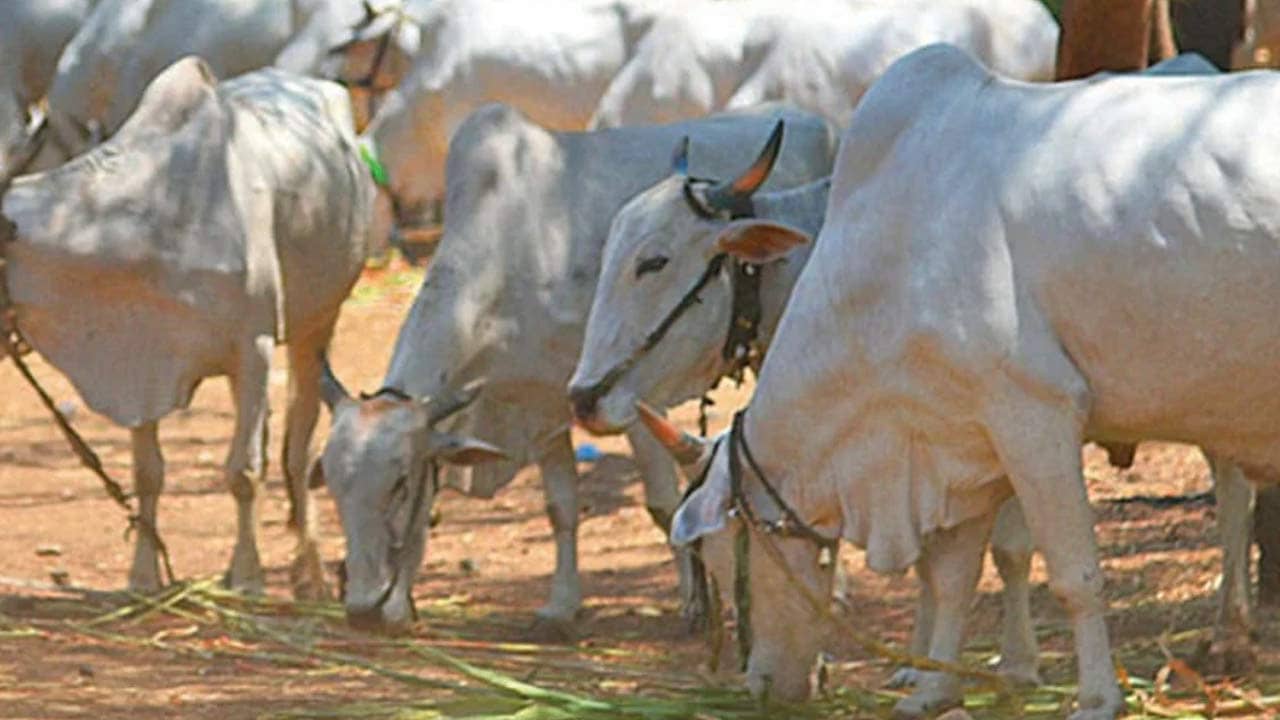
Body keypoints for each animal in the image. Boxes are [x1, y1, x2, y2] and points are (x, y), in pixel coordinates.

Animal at [0, 57, 375, 601]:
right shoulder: (137, 362)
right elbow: (148, 474)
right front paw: (142, 577)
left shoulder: (255, 347)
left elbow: (244, 471)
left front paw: (249, 578)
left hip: (317, 323)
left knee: (296, 449)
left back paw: (310, 575)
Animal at [314, 101, 836, 635]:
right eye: (331, 484)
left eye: (400, 482)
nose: (362, 610)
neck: (508, 249)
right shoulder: (540, 402)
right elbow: (560, 509)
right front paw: (561, 606)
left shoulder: (627, 399)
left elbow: (664, 505)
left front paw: (695, 606)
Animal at [628, 44, 1280, 718]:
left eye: (724, 548)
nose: (760, 683)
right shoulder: (953, 433)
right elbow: (951, 579)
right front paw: (933, 689)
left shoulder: (1033, 416)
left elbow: (1074, 575)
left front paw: (1097, 698)